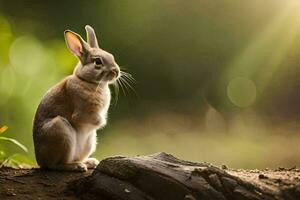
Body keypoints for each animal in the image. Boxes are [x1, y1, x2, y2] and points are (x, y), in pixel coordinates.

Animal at [33, 25, 120, 172]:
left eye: (112, 56)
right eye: (98, 61)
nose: (116, 71)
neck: (87, 81)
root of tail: (40, 161)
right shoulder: (83, 113)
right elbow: (86, 119)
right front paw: (102, 123)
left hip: (90, 141)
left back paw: (90, 162)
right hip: (60, 130)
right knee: (55, 165)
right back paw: (77, 166)